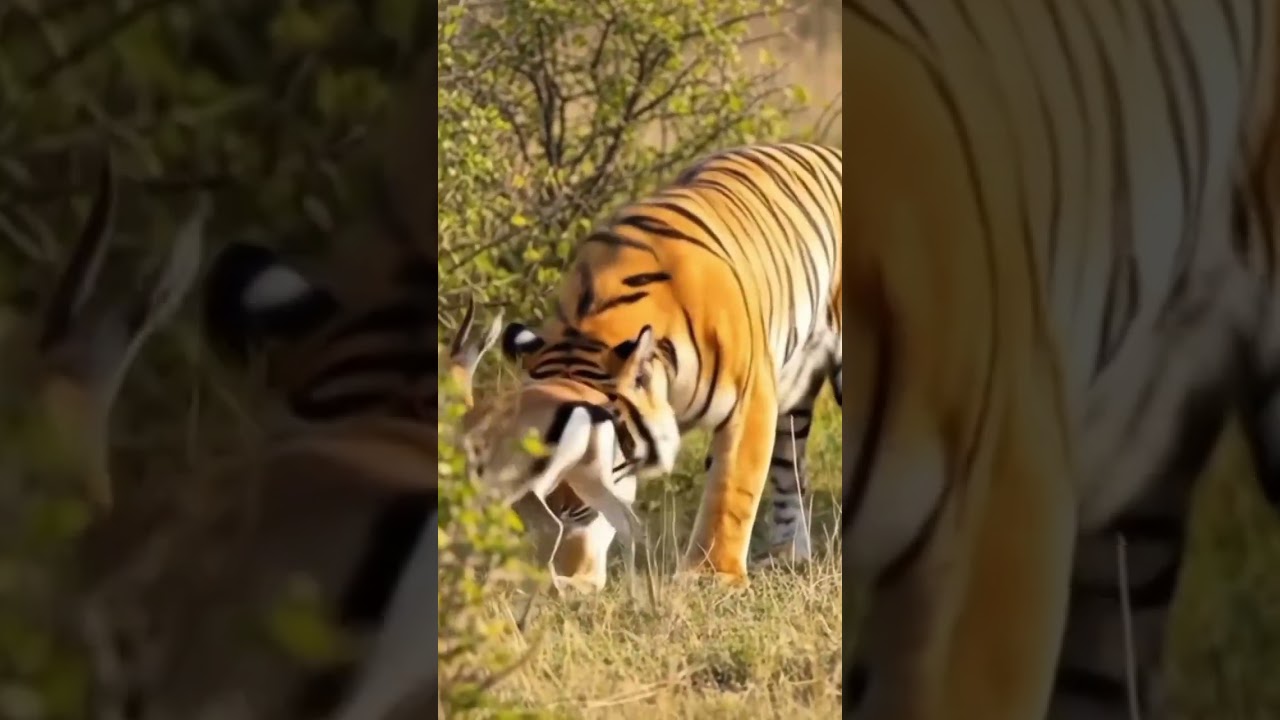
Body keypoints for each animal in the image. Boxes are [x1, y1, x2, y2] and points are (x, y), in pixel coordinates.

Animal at [499, 141, 844, 586]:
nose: (558, 507)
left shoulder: (750, 400)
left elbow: (730, 493)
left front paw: (712, 575)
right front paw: (576, 577)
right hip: (793, 394)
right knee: (791, 473)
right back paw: (786, 556)